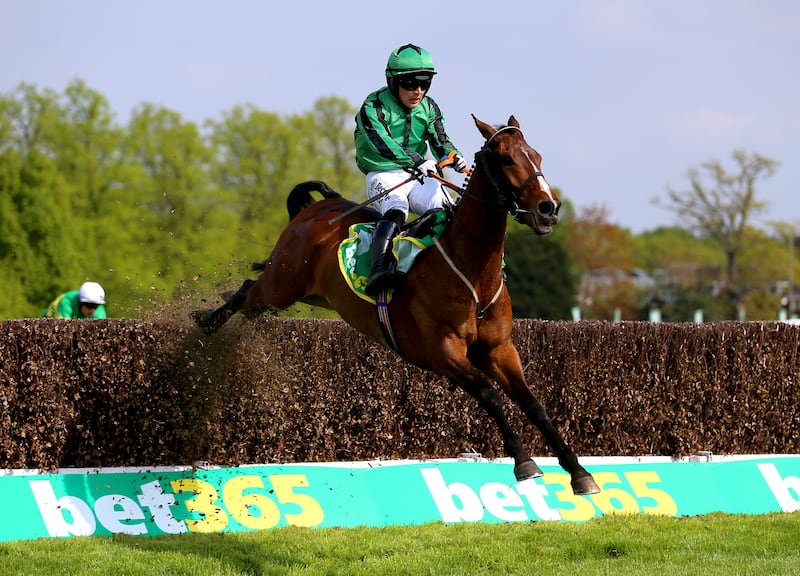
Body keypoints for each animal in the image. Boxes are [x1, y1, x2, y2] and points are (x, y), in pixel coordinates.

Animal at [195, 116, 600, 496]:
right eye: (506, 158)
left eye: (537, 156)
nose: (548, 209)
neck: (471, 271)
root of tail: (319, 207)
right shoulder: (443, 352)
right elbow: (490, 395)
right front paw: (524, 461)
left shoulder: (499, 349)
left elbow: (533, 403)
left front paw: (579, 472)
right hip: (282, 284)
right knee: (247, 291)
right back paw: (201, 325)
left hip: (304, 292)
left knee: (248, 299)